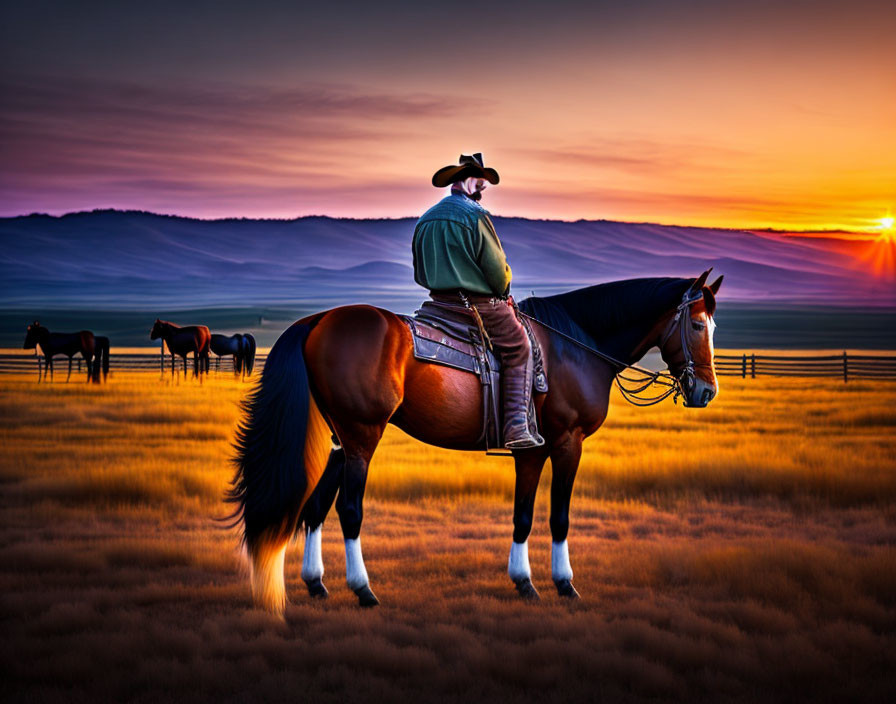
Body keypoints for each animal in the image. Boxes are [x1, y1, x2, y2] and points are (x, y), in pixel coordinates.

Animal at [228, 272, 724, 612]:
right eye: (699, 326)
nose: (705, 391)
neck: (577, 346)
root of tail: (318, 320)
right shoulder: (567, 442)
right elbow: (559, 516)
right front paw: (564, 584)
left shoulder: (533, 448)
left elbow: (523, 515)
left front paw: (524, 582)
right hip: (361, 435)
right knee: (349, 510)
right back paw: (363, 590)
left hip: (338, 439)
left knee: (315, 508)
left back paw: (317, 584)